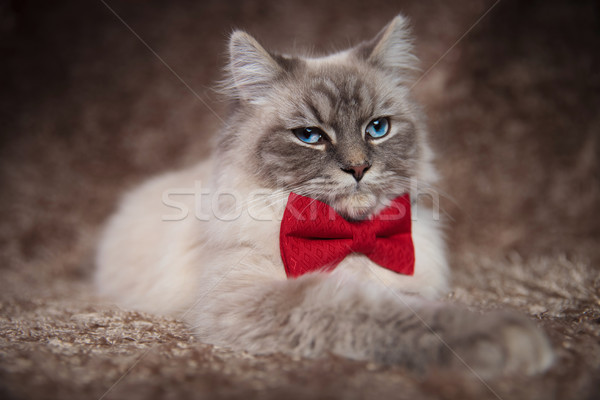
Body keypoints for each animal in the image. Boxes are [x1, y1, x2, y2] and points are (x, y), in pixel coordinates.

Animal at [95, 14, 552, 378]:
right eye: (310, 136)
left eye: (377, 128)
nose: (358, 168)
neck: (352, 237)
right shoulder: (259, 299)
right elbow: (380, 312)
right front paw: (503, 337)